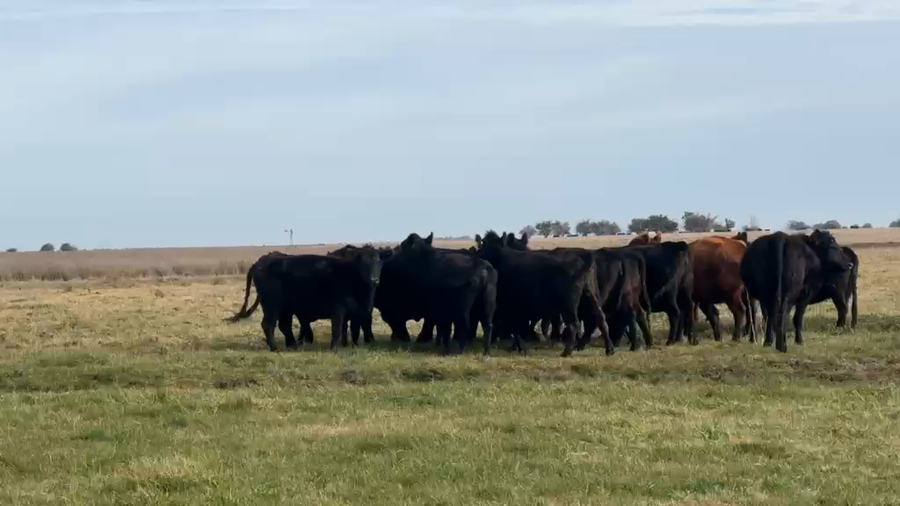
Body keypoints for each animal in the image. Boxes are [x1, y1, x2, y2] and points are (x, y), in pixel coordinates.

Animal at [227, 247, 383, 351]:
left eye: (378, 262)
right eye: (363, 263)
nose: (374, 279)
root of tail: (260, 262)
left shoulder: (356, 313)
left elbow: (354, 330)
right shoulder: (338, 310)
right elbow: (337, 330)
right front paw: (334, 349)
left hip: (286, 308)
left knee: (284, 325)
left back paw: (292, 345)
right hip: (273, 305)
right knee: (268, 324)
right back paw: (274, 347)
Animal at [475, 231, 613, 357]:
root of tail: (583, 256)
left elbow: (515, 325)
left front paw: (519, 347)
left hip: (569, 303)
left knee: (574, 324)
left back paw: (567, 352)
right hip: (591, 294)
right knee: (601, 318)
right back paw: (609, 349)